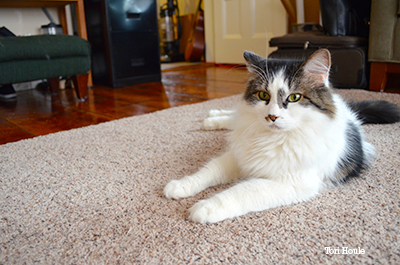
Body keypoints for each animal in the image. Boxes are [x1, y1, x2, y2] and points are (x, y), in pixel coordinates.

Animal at [163, 48, 400, 222]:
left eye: (294, 97)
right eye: (263, 95)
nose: (272, 117)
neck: (272, 139)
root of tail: (350, 111)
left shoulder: (292, 182)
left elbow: (241, 191)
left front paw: (205, 208)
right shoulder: (237, 156)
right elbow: (207, 172)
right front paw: (179, 186)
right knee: (233, 116)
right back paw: (212, 118)